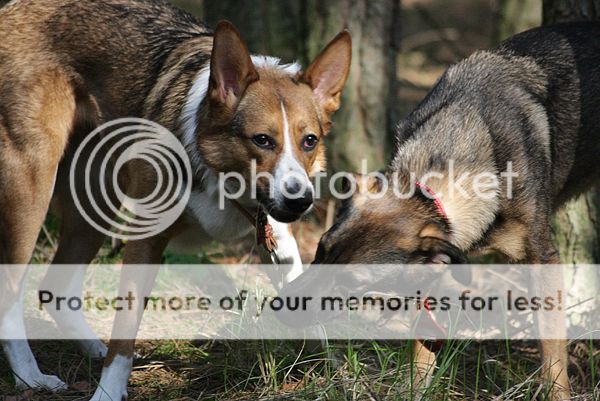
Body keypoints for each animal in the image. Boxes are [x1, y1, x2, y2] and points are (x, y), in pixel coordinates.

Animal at [0, 0, 351, 399]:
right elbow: (125, 331)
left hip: (95, 204)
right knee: (11, 293)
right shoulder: (146, 240)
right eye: (262, 139)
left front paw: (332, 374)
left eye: (310, 141)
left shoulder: (277, 235)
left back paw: (91, 348)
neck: (223, 178)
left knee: (54, 289)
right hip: (32, 191)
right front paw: (108, 391)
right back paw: (31, 376)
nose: (300, 201)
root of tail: (13, 10)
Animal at [279, 22, 600, 400]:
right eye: (320, 251)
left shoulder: (542, 258)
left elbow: (552, 352)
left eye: (350, 283)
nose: (280, 308)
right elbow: (421, 348)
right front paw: (416, 389)